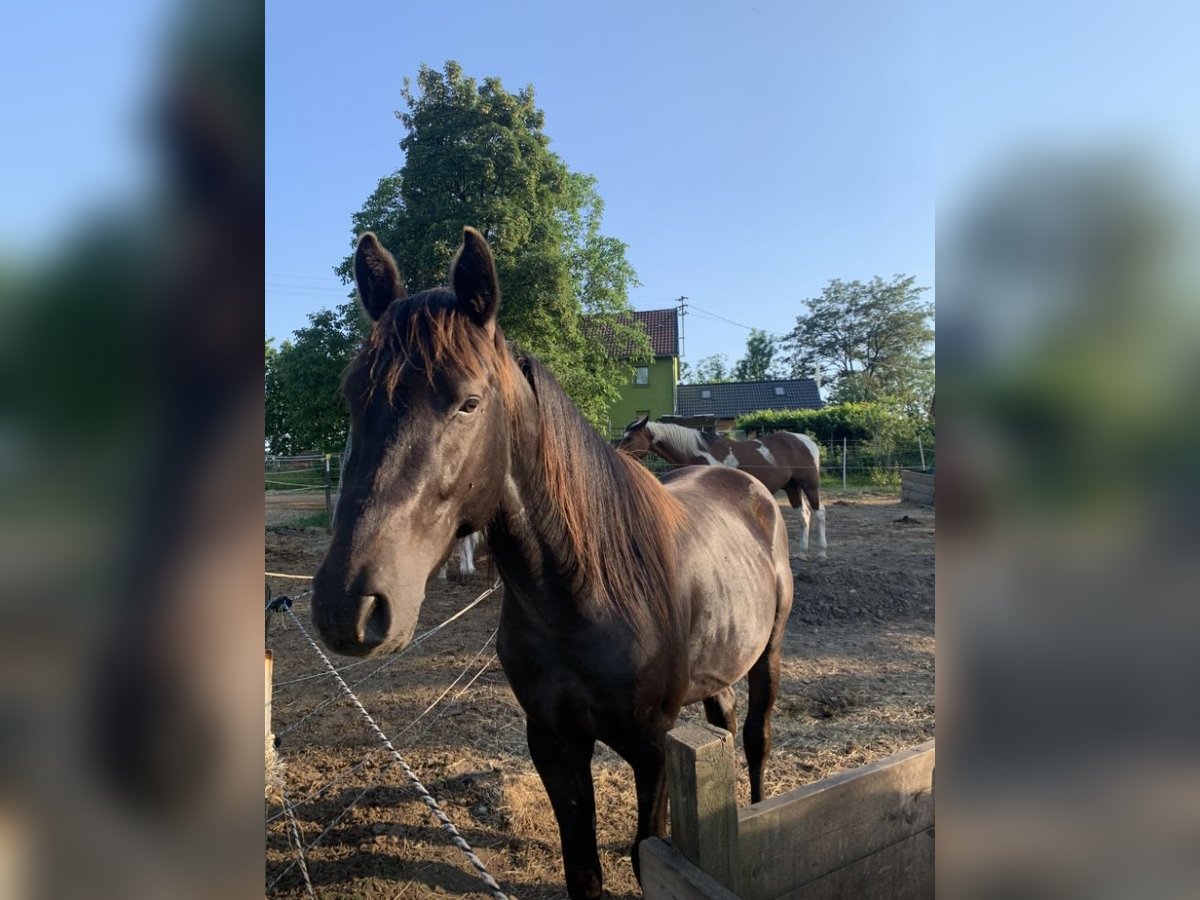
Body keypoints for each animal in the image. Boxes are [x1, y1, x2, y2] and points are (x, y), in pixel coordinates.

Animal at [314, 226, 792, 900]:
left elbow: (647, 857)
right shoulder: (553, 743)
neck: (586, 592)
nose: (348, 605)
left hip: (768, 652)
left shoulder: (651, 748)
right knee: (723, 719)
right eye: (353, 397)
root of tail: (745, 482)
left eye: (468, 403)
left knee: (755, 738)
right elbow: (582, 871)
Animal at [619, 420, 825, 561]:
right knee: (803, 515)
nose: (618, 454)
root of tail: (806, 440)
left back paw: (822, 553)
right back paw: (801, 553)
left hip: (810, 485)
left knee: (819, 512)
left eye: (629, 438)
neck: (699, 452)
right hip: (792, 487)